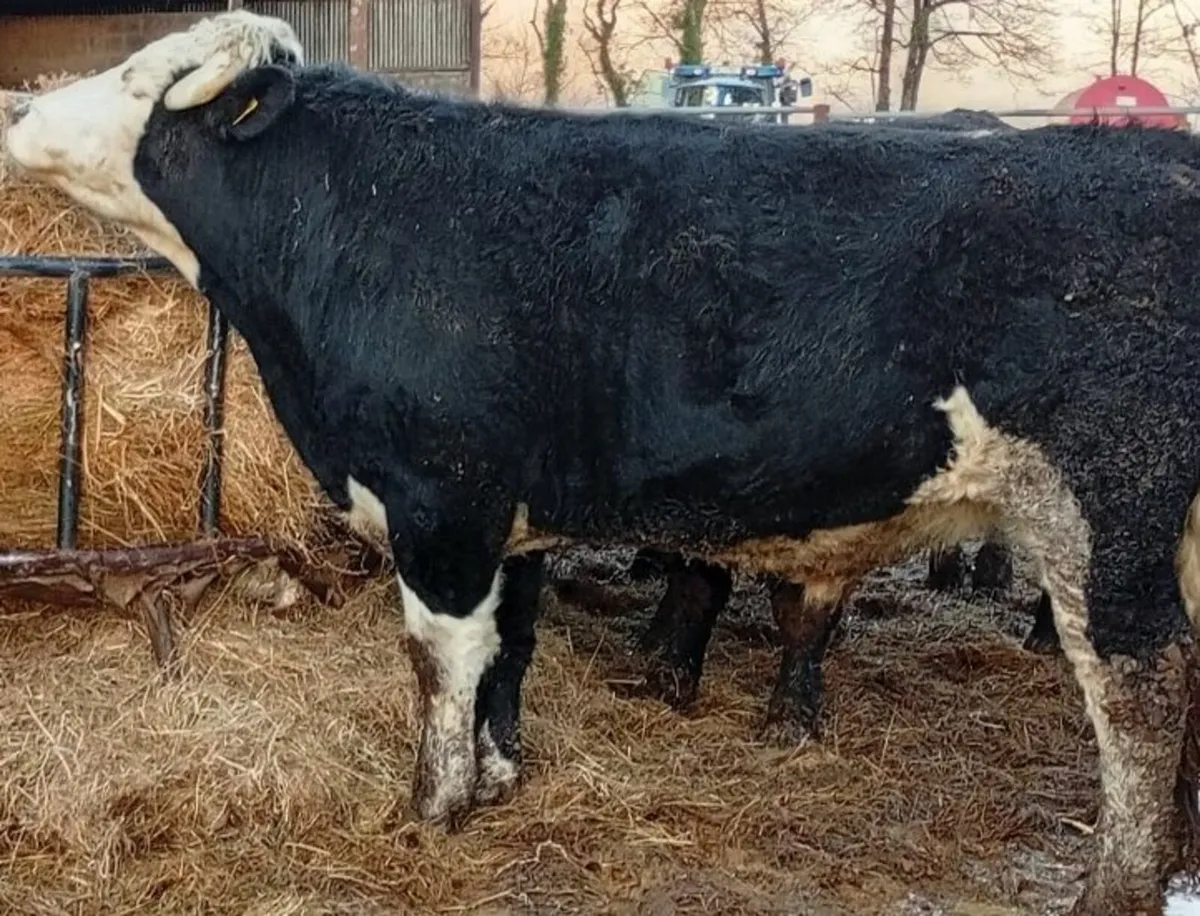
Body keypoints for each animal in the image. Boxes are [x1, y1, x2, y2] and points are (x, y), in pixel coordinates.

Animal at [5, 15, 1197, 914]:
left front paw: (431, 807)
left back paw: (1118, 885)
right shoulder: (506, 517)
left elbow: (439, 662)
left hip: (1110, 507)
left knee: (1143, 692)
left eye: (145, 80)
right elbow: (507, 650)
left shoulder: (442, 502)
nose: (19, 111)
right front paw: (494, 774)